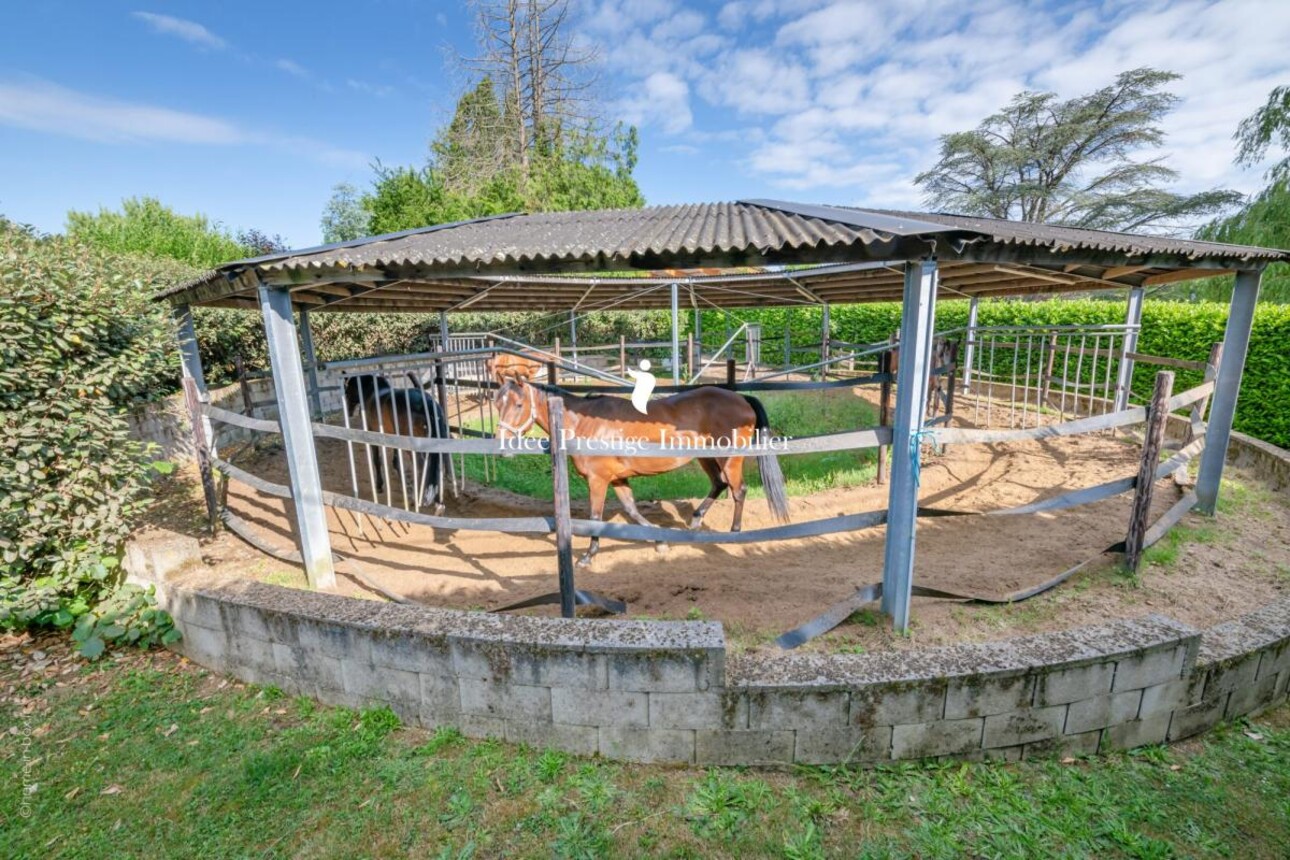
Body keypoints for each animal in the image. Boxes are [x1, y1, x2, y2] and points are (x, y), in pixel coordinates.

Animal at [345, 373, 451, 508]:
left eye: (348, 391)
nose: (349, 412)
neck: (372, 392)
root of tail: (426, 403)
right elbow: (396, 457)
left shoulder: (372, 433)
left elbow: (376, 460)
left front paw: (379, 486)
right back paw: (438, 501)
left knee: (422, 466)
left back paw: (418, 498)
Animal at [487, 361, 784, 564]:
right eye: (497, 404)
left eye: (518, 405)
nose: (501, 447)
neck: (584, 423)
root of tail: (741, 398)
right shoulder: (619, 478)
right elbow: (632, 510)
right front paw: (660, 540)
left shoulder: (598, 480)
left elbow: (596, 517)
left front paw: (588, 556)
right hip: (706, 457)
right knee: (718, 485)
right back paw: (695, 520)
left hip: (729, 458)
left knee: (738, 490)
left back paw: (735, 531)